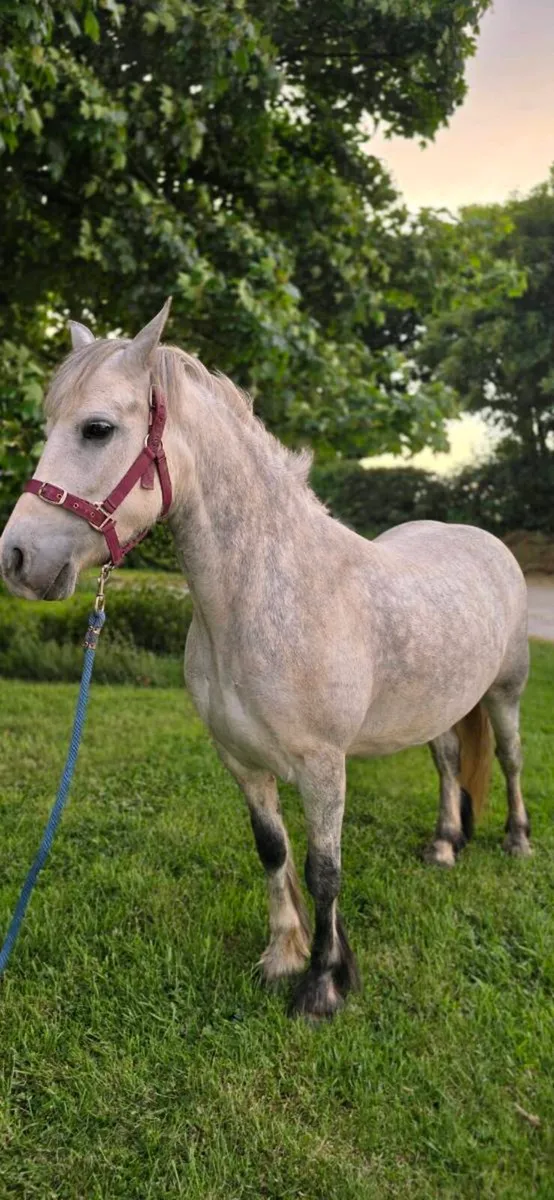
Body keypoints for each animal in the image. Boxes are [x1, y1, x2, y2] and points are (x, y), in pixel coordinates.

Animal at [0, 301, 531, 1019]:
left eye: (97, 428)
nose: (18, 559)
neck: (263, 599)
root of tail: (481, 538)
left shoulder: (323, 767)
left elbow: (323, 869)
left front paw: (323, 985)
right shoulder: (242, 760)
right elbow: (273, 851)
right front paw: (283, 956)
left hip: (505, 694)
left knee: (508, 759)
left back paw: (517, 840)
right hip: (440, 705)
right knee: (450, 763)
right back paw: (445, 845)